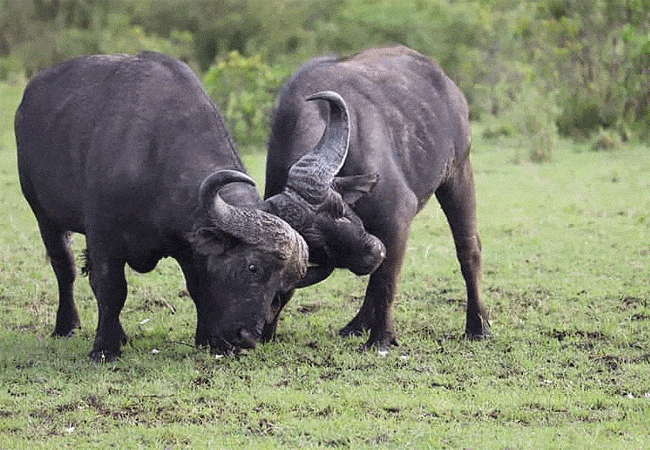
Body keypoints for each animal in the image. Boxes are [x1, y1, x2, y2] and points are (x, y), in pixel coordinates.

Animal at [12, 51, 312, 362]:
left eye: (281, 285)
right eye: (252, 267)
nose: (248, 338)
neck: (154, 155)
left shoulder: (188, 246)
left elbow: (199, 288)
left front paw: (208, 339)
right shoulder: (104, 236)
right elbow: (111, 288)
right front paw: (105, 348)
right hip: (45, 216)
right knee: (65, 268)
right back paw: (67, 326)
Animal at [262, 46, 486, 348]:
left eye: (338, 207)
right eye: (316, 245)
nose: (373, 252)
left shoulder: (396, 218)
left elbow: (386, 281)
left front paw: (381, 338)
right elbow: (377, 278)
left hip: (458, 172)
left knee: (468, 249)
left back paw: (478, 326)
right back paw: (357, 325)